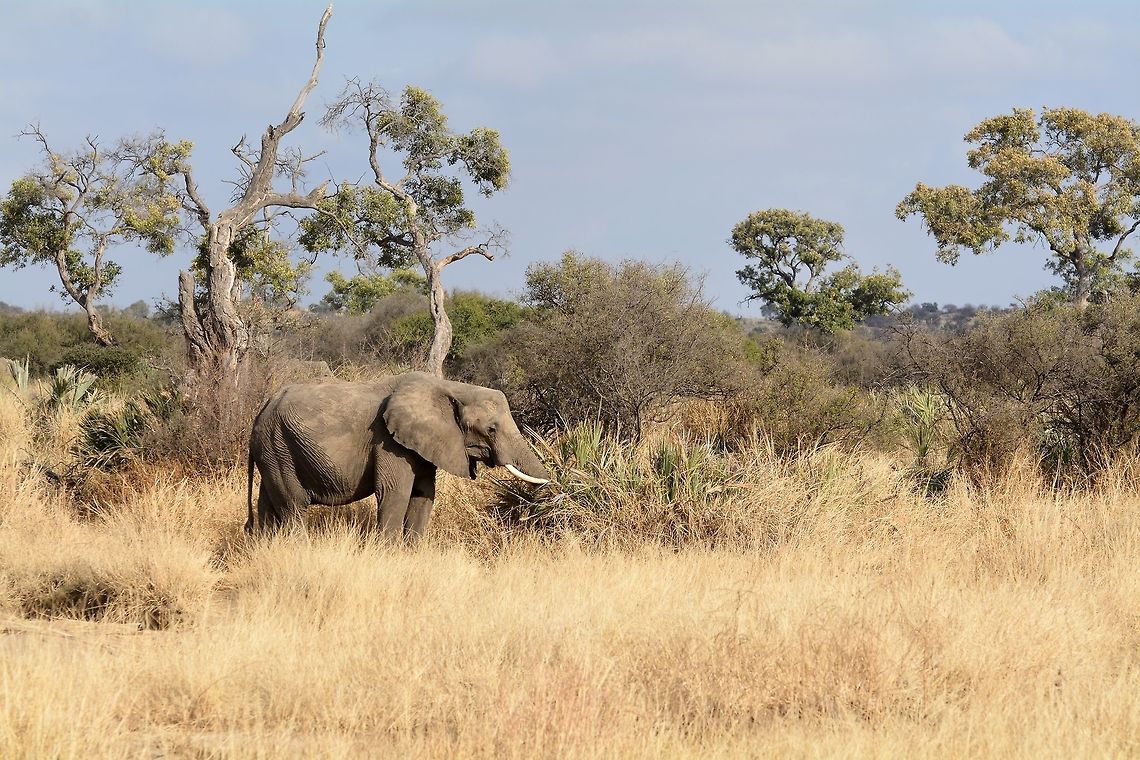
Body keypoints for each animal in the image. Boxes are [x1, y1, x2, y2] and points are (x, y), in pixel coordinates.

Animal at [245, 371, 550, 542]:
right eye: (491, 429)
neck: (451, 387)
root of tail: (262, 408)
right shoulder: (388, 441)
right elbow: (395, 492)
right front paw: (387, 554)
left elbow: (424, 495)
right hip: (279, 446)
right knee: (294, 506)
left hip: (273, 450)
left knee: (269, 503)